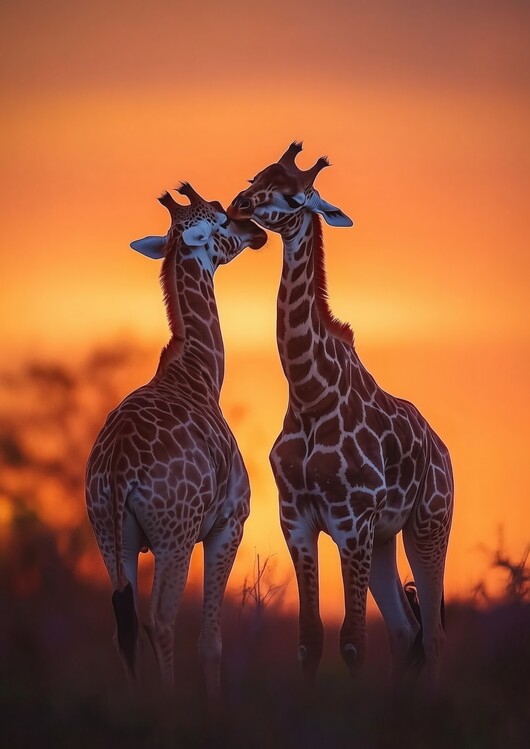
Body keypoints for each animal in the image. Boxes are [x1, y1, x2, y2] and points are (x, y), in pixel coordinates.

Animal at [86, 183, 267, 704]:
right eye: (221, 220)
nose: (256, 231)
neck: (200, 373)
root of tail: (119, 470)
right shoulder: (228, 524)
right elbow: (211, 639)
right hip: (174, 535)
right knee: (159, 619)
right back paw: (167, 707)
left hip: (111, 536)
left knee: (123, 622)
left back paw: (136, 706)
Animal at [228, 143, 454, 685]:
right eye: (255, 178)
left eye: (294, 195)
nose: (238, 206)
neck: (310, 395)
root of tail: (443, 451)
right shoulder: (296, 517)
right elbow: (310, 639)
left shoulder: (352, 519)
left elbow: (352, 641)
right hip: (385, 539)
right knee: (404, 631)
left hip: (428, 526)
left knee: (432, 635)